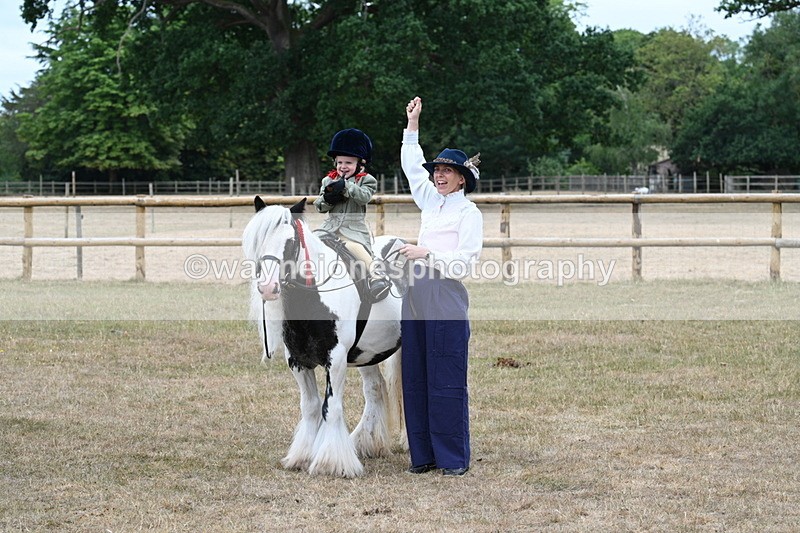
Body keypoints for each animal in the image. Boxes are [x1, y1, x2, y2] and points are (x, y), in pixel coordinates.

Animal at [242, 196, 408, 477]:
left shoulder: (336, 359)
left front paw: (331, 462)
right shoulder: (298, 361)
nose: (267, 287)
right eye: (259, 239)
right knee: (375, 390)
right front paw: (302, 456)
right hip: (368, 355)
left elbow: (331, 407)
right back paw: (366, 443)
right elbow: (310, 407)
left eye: (290, 242)